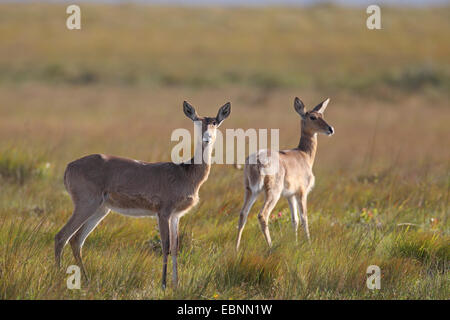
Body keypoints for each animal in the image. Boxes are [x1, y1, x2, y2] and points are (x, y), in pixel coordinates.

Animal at [55, 101, 232, 288]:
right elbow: (165, 246)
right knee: (62, 236)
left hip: (100, 210)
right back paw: (59, 276)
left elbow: (175, 248)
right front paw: (163, 285)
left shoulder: (176, 216)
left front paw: (176, 285)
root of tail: (69, 166)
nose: (207, 138)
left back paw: (87, 280)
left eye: (214, 122)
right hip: (86, 204)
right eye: (197, 121)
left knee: (76, 240)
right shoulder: (163, 212)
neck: (186, 173)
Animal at [236, 97, 334, 250]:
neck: (304, 154)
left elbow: (295, 220)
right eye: (312, 117)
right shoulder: (302, 192)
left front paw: (296, 243)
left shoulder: (290, 195)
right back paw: (271, 246)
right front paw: (309, 245)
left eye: (322, 115)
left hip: (251, 191)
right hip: (272, 193)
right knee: (262, 215)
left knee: (243, 213)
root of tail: (256, 159)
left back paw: (236, 248)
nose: (330, 129)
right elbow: (305, 218)